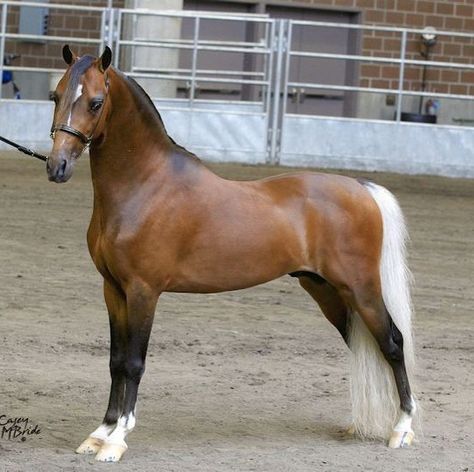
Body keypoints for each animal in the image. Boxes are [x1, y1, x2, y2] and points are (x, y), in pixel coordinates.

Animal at [46, 46, 416, 462]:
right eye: (56, 96)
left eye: (95, 103)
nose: (57, 166)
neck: (145, 186)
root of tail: (361, 188)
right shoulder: (113, 290)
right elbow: (115, 362)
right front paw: (99, 433)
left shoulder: (143, 292)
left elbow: (134, 363)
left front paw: (116, 440)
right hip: (327, 292)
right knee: (362, 347)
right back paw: (361, 424)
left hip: (361, 289)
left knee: (393, 344)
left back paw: (402, 429)